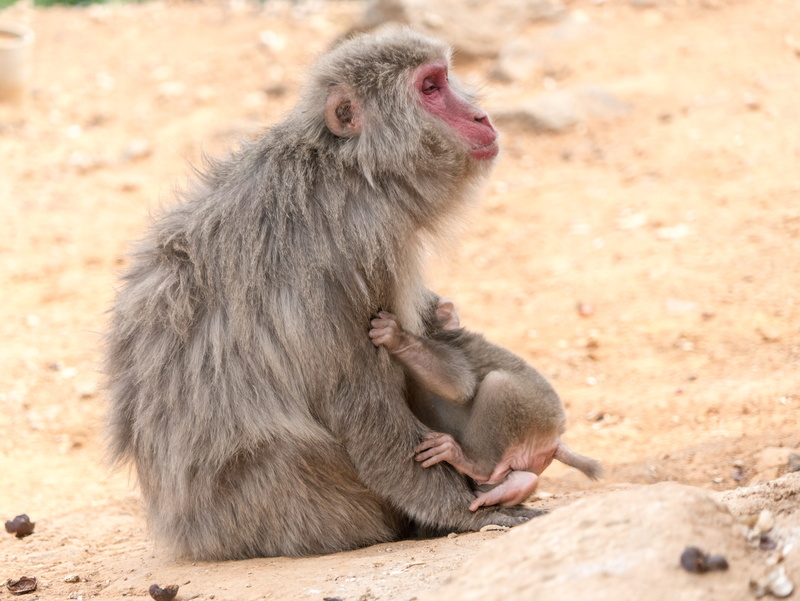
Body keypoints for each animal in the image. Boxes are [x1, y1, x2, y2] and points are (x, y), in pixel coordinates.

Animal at [103, 28, 544, 561]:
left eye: (443, 77)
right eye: (431, 87)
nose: (480, 116)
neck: (349, 165)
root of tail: (192, 534)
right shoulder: (359, 245)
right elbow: (360, 400)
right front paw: (463, 512)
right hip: (308, 512)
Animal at [369, 300, 602, 512]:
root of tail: (555, 438)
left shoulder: (452, 347)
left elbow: (458, 384)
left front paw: (395, 337)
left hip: (537, 412)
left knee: (498, 385)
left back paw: (470, 462)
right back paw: (515, 487)